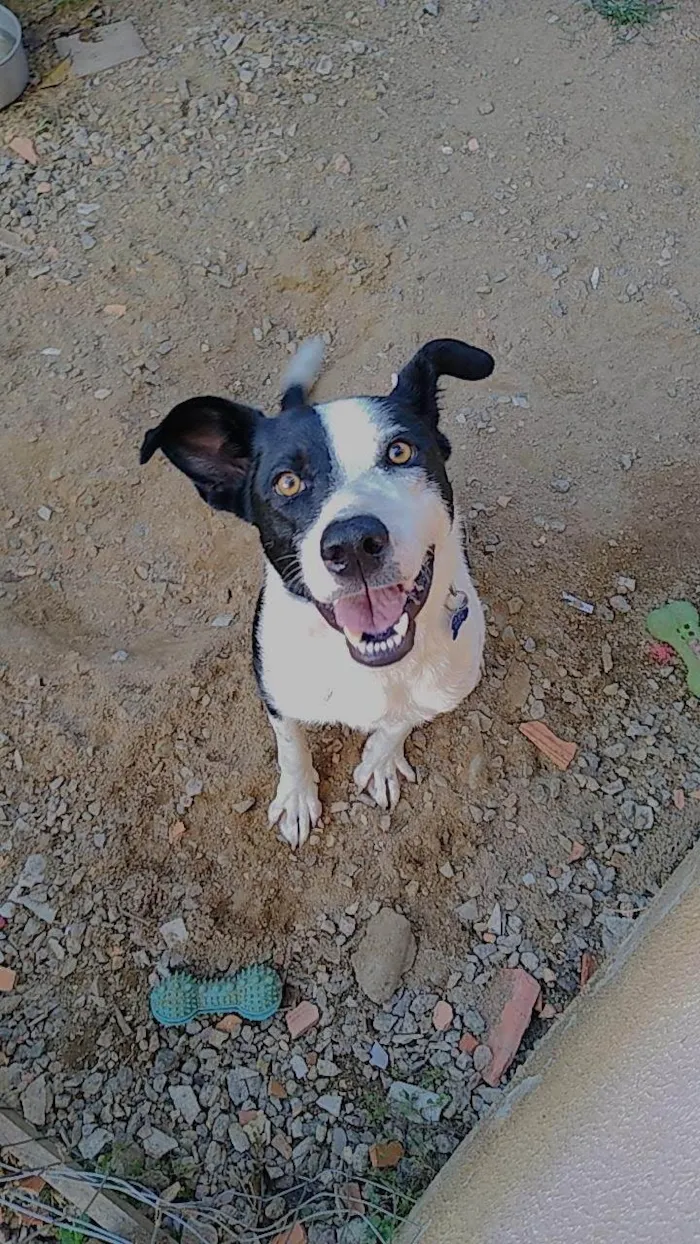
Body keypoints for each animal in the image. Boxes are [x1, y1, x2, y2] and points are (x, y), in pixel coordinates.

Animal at [139, 338, 494, 845]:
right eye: (287, 482)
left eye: (400, 451)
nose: (353, 543)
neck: (370, 666)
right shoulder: (276, 690)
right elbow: (291, 745)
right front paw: (297, 796)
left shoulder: (436, 692)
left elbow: (397, 723)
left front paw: (380, 760)